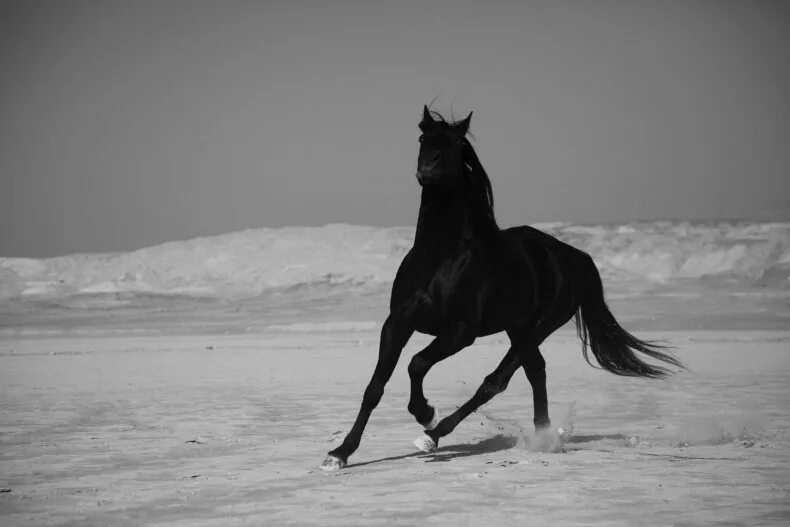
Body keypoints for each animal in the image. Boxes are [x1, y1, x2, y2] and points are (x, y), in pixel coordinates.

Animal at [322, 107, 688, 470]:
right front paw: (340, 453)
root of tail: (574, 256)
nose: (427, 170)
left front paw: (425, 414)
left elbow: (417, 363)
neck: (438, 256)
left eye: (455, 143)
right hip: (519, 328)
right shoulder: (398, 323)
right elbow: (375, 386)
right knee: (535, 371)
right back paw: (543, 437)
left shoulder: (461, 332)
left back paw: (435, 434)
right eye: (423, 138)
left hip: (537, 327)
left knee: (497, 380)